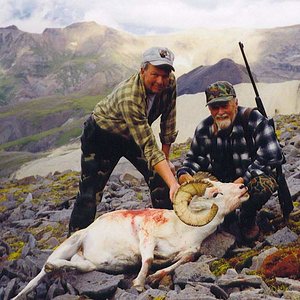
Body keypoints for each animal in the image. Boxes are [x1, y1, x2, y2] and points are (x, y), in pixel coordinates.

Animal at [12, 172, 248, 298]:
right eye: (215, 193)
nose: (243, 187)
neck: (183, 230)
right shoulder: (145, 235)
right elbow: (149, 258)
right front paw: (139, 283)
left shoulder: (190, 251)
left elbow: (181, 260)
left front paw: (154, 276)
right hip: (69, 245)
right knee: (41, 272)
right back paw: (23, 291)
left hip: (90, 264)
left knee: (75, 266)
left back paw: (55, 268)